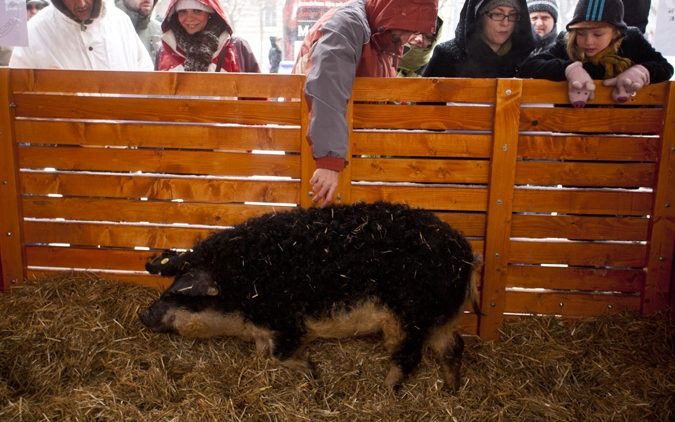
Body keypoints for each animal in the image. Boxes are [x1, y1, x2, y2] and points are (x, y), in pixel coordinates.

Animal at [140, 202, 484, 392]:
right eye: (170, 286)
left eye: (181, 292)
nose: (143, 314)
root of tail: (468, 256)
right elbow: (263, 353)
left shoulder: (288, 321)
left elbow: (281, 354)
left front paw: (312, 372)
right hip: (439, 319)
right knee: (453, 347)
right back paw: (451, 390)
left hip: (410, 320)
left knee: (409, 358)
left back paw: (384, 391)